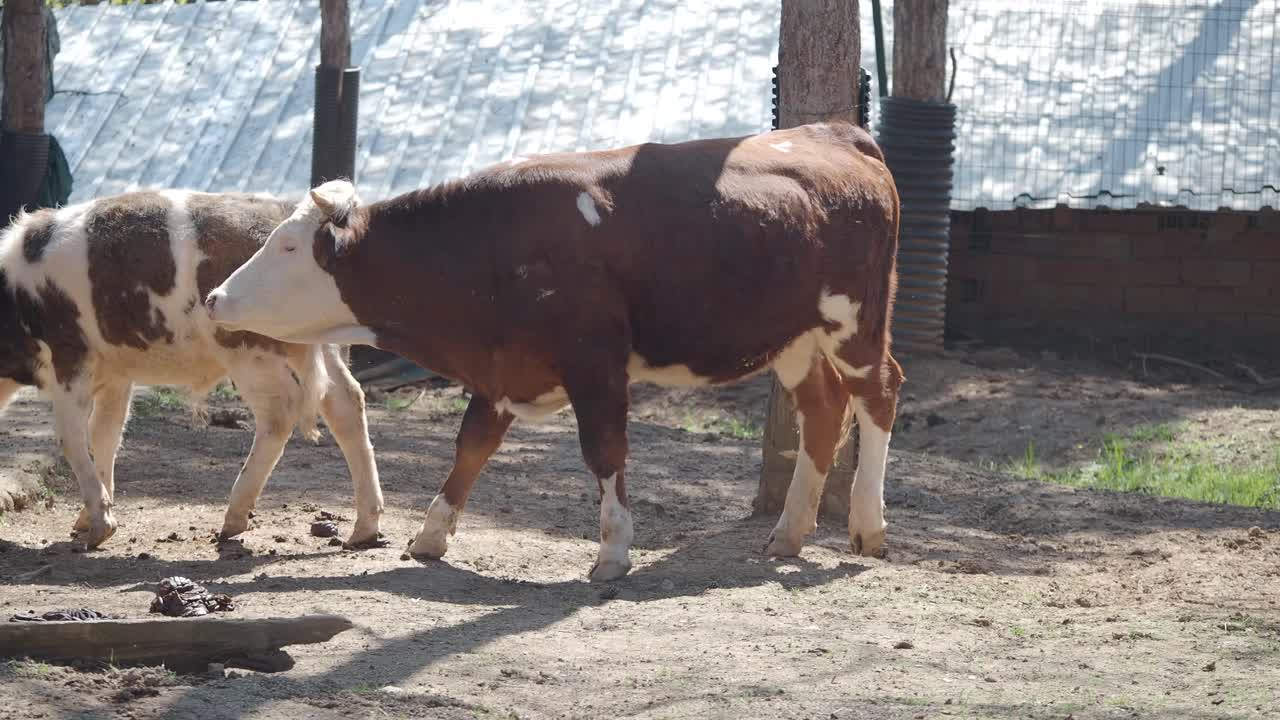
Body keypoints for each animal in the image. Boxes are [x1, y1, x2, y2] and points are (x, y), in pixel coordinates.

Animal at [0, 191, 385, 550]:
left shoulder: (70, 360)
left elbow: (73, 438)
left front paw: (99, 524)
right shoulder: (116, 374)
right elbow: (105, 435)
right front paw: (89, 514)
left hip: (250, 352)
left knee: (280, 412)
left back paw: (234, 516)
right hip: (318, 344)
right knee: (346, 403)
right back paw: (365, 525)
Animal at [206, 121, 903, 582]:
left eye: (287, 247)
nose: (214, 297)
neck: (494, 247)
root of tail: (839, 134)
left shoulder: (594, 363)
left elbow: (604, 451)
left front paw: (613, 550)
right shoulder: (501, 368)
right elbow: (471, 446)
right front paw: (430, 535)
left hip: (855, 323)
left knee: (878, 394)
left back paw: (868, 526)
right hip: (794, 337)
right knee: (823, 409)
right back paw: (789, 532)